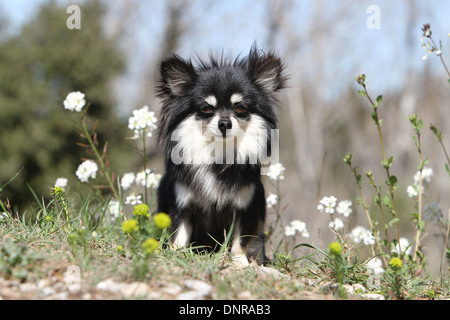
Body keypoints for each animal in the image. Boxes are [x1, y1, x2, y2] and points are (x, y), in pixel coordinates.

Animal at [156, 43, 286, 266]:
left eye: (240, 108)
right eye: (206, 108)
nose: (225, 123)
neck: (218, 152)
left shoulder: (245, 207)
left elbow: (240, 240)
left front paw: (239, 262)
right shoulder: (181, 204)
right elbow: (178, 234)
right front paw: (175, 253)